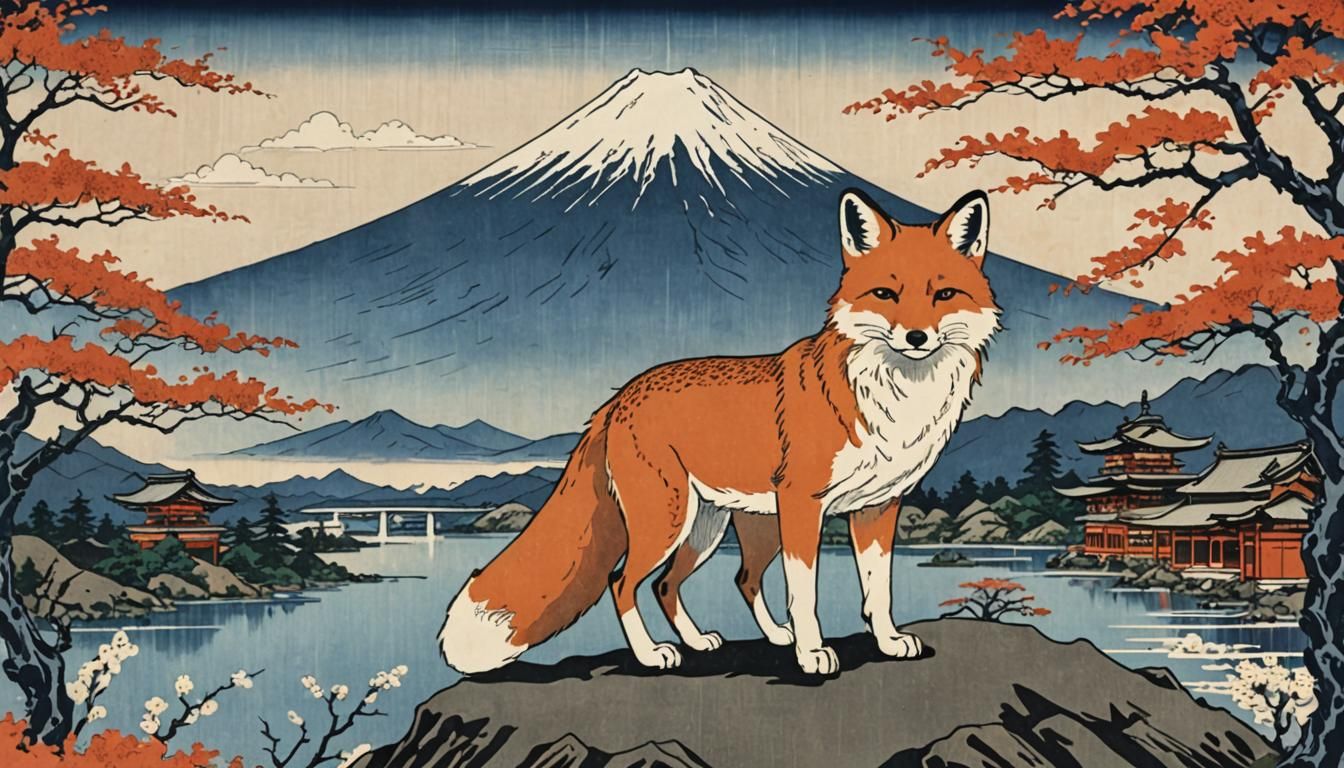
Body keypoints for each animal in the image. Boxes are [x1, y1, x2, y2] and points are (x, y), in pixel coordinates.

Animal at [440, 188, 999, 676]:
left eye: (943, 294)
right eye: (886, 294)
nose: (916, 337)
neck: (897, 402)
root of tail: (618, 398)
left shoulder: (878, 508)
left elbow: (877, 592)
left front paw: (885, 642)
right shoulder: (804, 504)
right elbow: (806, 595)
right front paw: (812, 655)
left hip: (718, 527)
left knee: (703, 582)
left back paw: (730, 639)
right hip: (671, 521)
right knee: (622, 582)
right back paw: (654, 655)